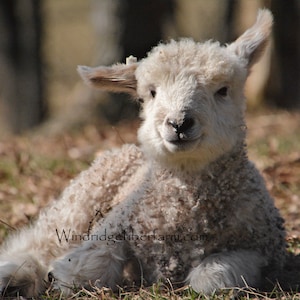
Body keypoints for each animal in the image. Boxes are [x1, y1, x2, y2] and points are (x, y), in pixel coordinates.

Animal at [0, 8, 288, 298]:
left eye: (223, 90)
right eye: (151, 93)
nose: (179, 124)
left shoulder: (258, 249)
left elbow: (211, 278)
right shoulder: (113, 226)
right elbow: (83, 268)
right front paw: (56, 277)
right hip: (78, 203)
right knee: (37, 242)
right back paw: (14, 275)